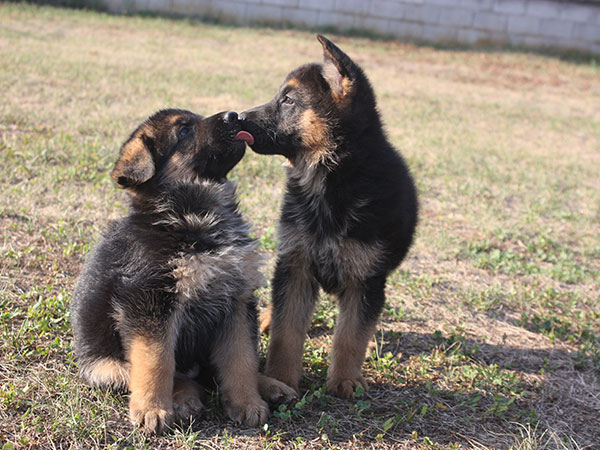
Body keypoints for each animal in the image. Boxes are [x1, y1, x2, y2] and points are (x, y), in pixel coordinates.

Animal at [71, 108, 296, 432]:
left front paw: (247, 402)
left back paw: (269, 385)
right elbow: (156, 360)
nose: (235, 115)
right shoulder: (150, 302)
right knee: (158, 373)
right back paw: (184, 399)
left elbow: (241, 359)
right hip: (106, 366)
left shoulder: (237, 301)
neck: (192, 215)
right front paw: (152, 409)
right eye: (184, 131)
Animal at [239, 37, 418, 400]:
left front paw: (345, 380)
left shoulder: (366, 279)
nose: (236, 117)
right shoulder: (295, 264)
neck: (330, 178)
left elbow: (351, 335)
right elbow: (287, 331)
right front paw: (279, 377)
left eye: (288, 100)